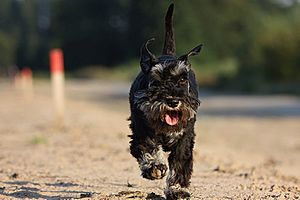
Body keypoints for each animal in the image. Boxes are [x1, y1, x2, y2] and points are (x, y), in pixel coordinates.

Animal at [127, 3, 203, 199]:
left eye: (183, 79)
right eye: (156, 80)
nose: (173, 101)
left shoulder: (185, 136)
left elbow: (180, 162)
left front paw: (178, 189)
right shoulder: (141, 129)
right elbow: (148, 146)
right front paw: (155, 166)